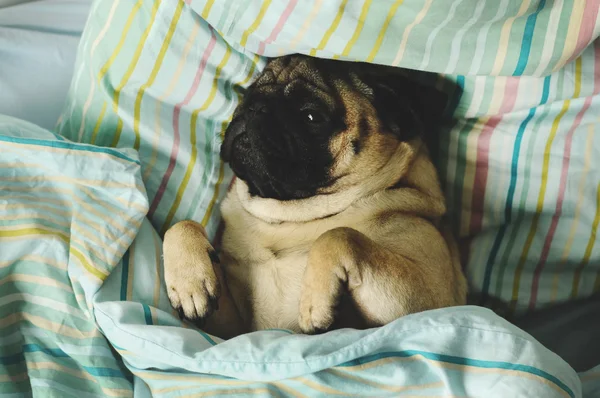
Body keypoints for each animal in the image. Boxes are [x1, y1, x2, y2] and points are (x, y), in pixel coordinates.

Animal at [162, 54, 466, 338]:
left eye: (312, 117)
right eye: (248, 95)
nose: (255, 107)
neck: (290, 218)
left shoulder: (428, 297)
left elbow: (338, 234)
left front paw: (314, 302)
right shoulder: (231, 328)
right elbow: (182, 226)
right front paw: (190, 281)